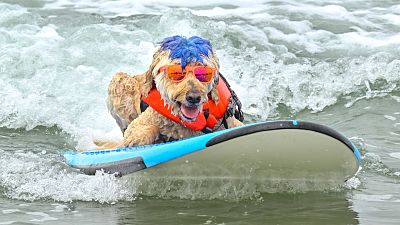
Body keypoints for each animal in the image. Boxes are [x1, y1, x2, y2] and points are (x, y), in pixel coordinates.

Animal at [101, 36, 242, 149]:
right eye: (177, 72)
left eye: (203, 73)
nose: (194, 97)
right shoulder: (140, 124)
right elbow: (141, 132)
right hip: (120, 81)